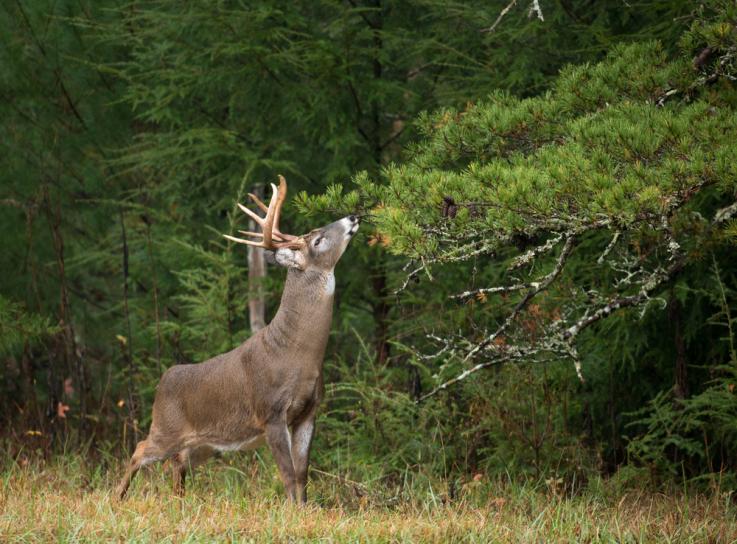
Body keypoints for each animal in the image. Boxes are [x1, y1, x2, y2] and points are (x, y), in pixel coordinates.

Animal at [115, 175, 359, 503]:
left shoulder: (309, 412)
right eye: (317, 240)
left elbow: (302, 475)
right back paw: (117, 497)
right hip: (166, 428)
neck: (298, 354)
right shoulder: (271, 412)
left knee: (177, 464)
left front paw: (307, 509)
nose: (353, 217)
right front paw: (293, 510)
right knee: (140, 450)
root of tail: (162, 380)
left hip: (202, 444)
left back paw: (179, 501)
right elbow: (287, 474)